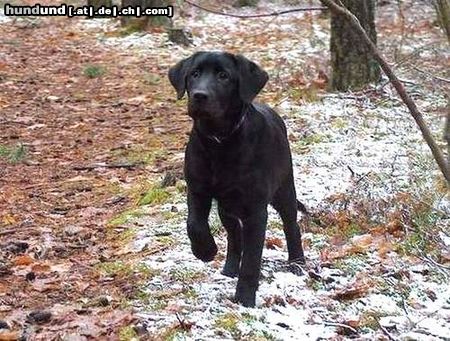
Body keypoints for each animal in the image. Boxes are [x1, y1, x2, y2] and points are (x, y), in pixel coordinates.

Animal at [169, 51, 306, 306]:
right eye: (194, 74)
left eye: (224, 76)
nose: (199, 95)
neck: (219, 142)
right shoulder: (197, 189)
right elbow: (194, 224)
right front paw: (205, 250)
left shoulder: (256, 211)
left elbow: (252, 259)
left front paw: (244, 298)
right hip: (227, 208)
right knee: (234, 236)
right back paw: (230, 267)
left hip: (284, 191)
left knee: (291, 226)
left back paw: (297, 263)